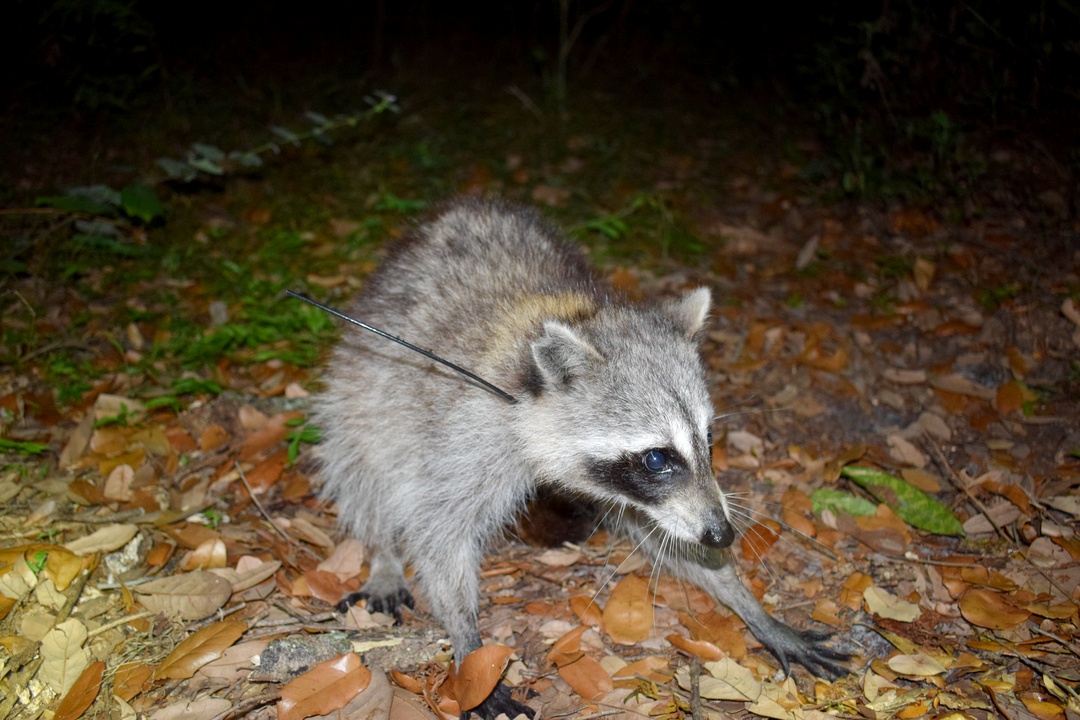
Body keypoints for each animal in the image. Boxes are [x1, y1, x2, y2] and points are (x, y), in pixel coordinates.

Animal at [315, 197, 846, 720]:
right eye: (657, 458)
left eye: (709, 439)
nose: (723, 534)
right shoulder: (473, 433)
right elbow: (440, 530)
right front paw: (469, 646)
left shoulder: (644, 496)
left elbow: (667, 530)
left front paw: (752, 607)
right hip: (365, 376)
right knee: (365, 460)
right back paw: (382, 550)